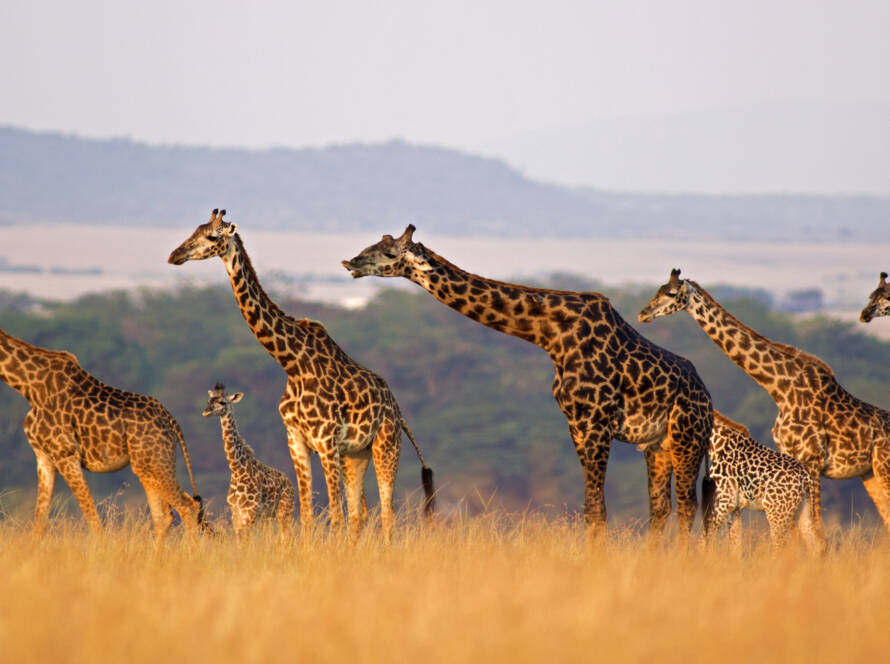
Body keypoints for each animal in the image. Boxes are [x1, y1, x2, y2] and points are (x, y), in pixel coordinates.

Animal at [0, 326, 203, 545]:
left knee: (188, 507)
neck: (28, 386)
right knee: (164, 516)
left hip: (156, 463)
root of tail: (171, 421)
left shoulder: (66, 454)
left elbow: (93, 519)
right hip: (149, 467)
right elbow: (39, 524)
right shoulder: (44, 457)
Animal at [203, 383, 295, 543]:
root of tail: (290, 484)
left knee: (287, 538)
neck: (237, 469)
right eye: (209, 400)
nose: (205, 412)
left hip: (284, 511)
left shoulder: (249, 512)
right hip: (268, 516)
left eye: (222, 402)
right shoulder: (236, 513)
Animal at [341, 225, 713, 542]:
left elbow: (597, 508)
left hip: (687, 437)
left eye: (390, 253)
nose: (350, 262)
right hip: (658, 445)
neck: (552, 335)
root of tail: (708, 400)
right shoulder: (576, 424)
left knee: (687, 506)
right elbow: (591, 508)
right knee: (661, 508)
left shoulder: (596, 423)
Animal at [703, 411, 820, 553]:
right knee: (816, 544)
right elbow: (735, 546)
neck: (717, 446)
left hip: (777, 513)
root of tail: (806, 476)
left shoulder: (723, 503)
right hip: (802, 510)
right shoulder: (735, 509)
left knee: (781, 547)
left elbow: (703, 540)